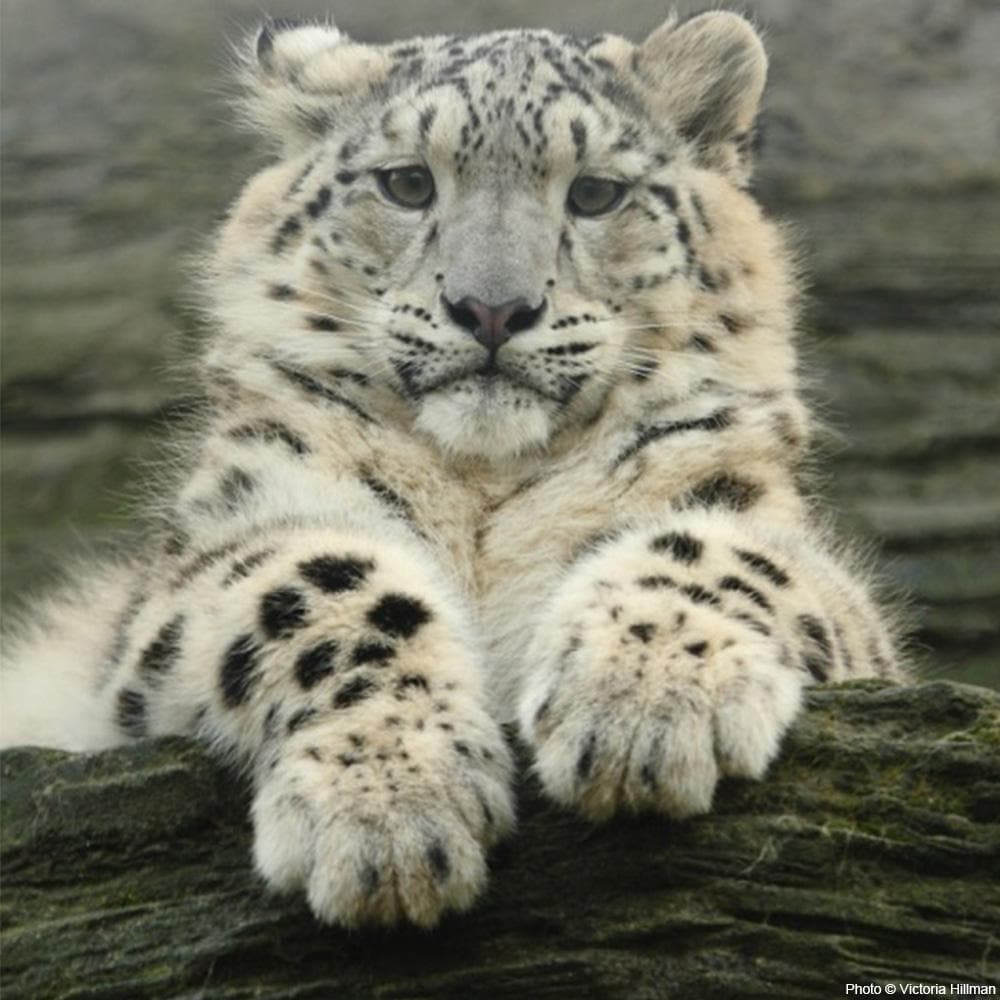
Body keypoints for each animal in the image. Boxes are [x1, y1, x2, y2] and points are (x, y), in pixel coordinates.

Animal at [0, 11, 906, 929]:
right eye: (406, 184)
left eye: (595, 194)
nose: (492, 308)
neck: (484, 494)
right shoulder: (220, 545)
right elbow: (321, 586)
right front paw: (389, 806)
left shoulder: (795, 559)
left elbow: (721, 554)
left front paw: (643, 704)